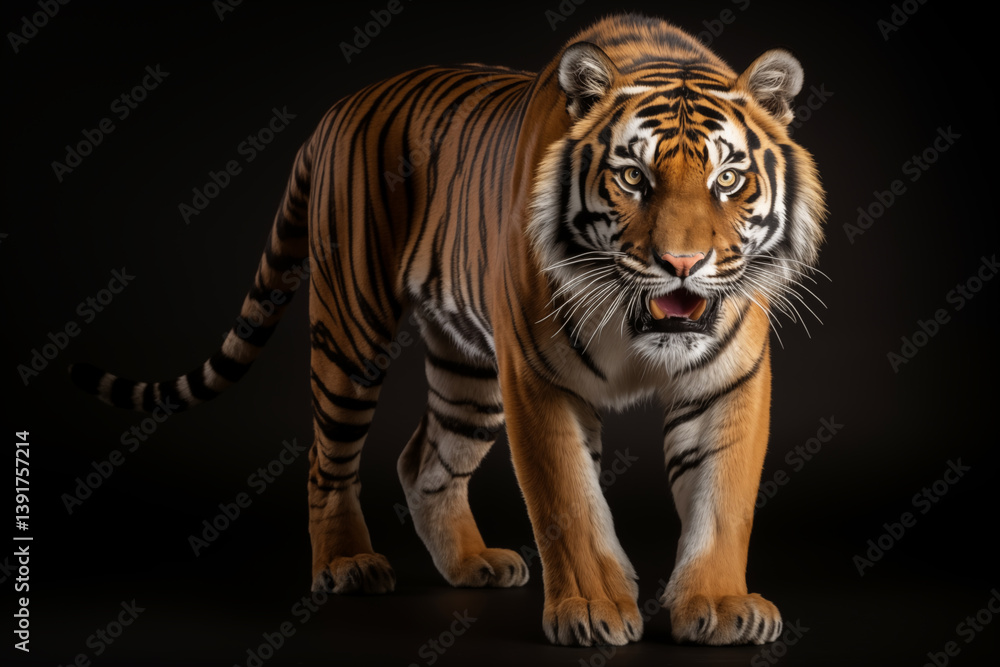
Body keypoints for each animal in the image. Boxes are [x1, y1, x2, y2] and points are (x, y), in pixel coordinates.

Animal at [71, 13, 825, 647]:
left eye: (727, 179)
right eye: (634, 178)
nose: (682, 264)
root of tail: (339, 108)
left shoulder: (728, 380)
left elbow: (722, 501)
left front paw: (720, 606)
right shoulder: (540, 380)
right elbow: (569, 501)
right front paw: (592, 609)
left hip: (471, 371)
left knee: (424, 460)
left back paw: (470, 563)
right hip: (352, 332)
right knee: (327, 458)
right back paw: (347, 563)